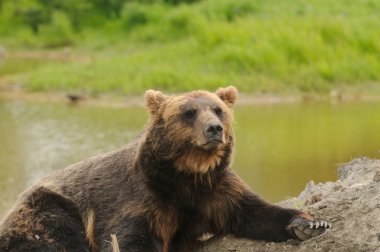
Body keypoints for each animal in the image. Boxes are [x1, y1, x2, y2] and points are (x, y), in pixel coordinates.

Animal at [0, 86, 330, 252]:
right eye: (189, 112)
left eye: (218, 109)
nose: (214, 129)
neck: (188, 173)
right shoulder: (144, 197)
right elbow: (129, 236)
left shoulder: (215, 190)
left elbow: (254, 212)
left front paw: (310, 224)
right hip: (50, 206)